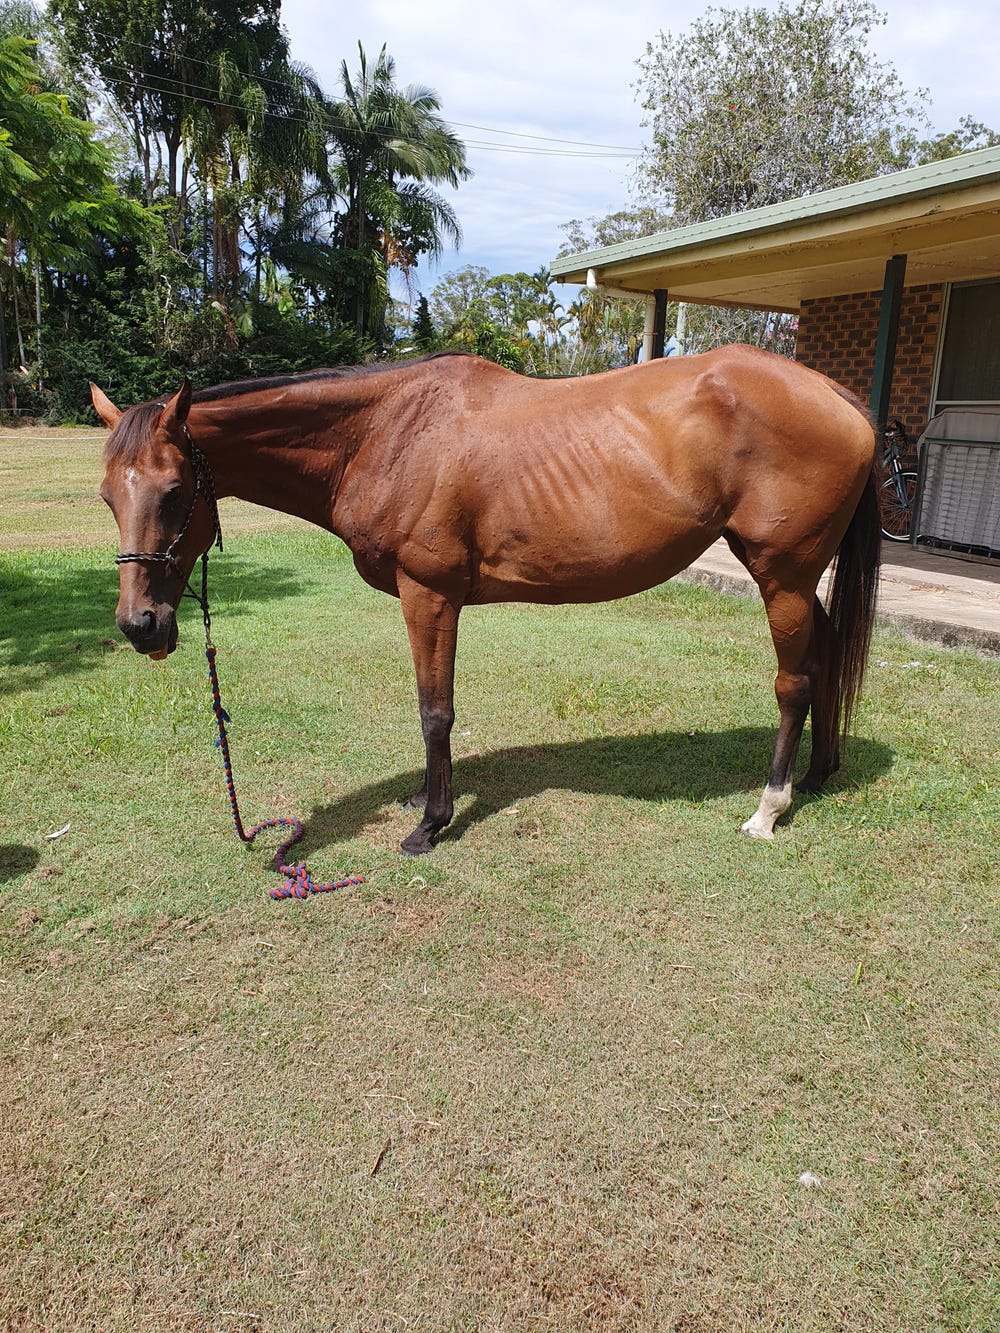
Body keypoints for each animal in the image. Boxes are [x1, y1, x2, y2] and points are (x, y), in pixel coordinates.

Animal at [92, 346, 881, 853]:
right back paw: (816, 776)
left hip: (782, 576)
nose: (141, 626)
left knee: (793, 682)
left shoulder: (429, 595)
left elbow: (434, 710)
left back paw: (769, 808)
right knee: (821, 663)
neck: (386, 432)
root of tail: (837, 394)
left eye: (173, 492)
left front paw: (429, 825)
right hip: (794, 579)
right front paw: (423, 799)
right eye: (106, 496)